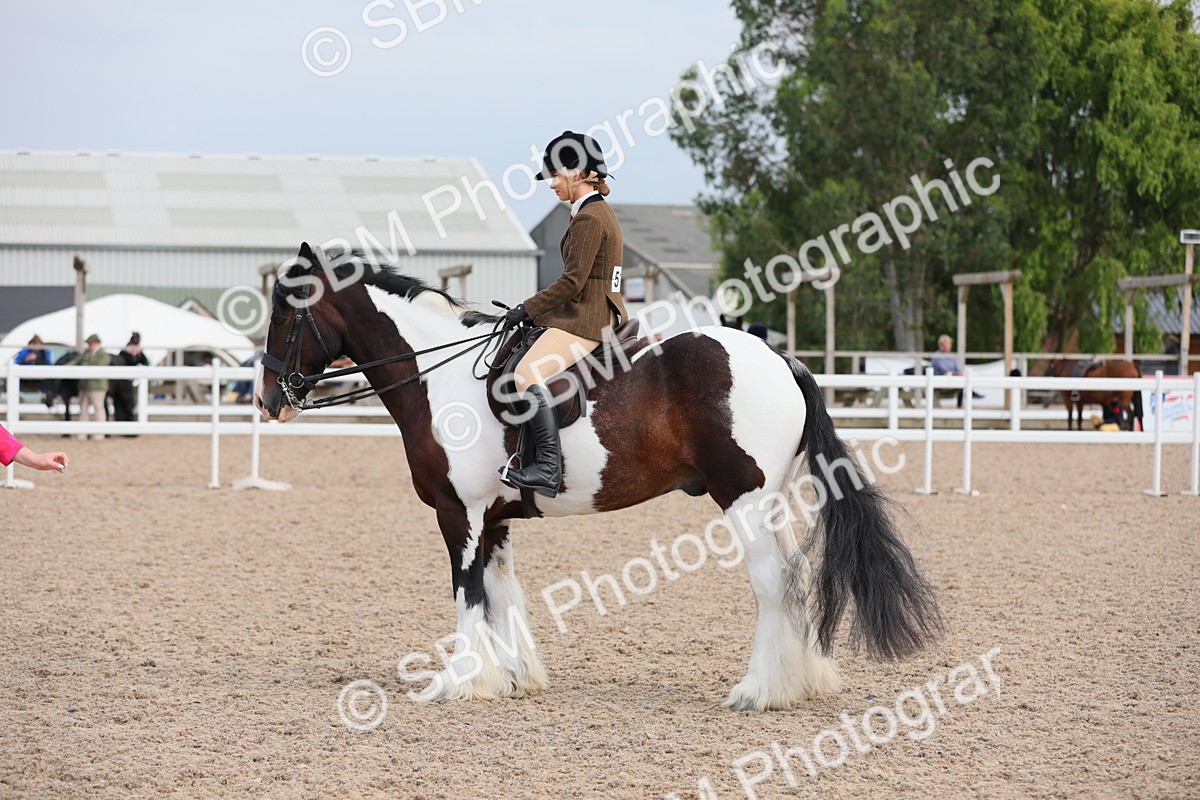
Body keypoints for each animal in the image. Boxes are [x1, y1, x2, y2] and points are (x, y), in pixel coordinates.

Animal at [255, 243, 942, 711]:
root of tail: (780, 358)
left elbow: (467, 595)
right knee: (794, 580)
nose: (267, 399)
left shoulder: (461, 513)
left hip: (743, 500)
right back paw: (800, 681)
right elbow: (504, 595)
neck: (439, 379)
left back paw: (757, 690)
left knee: (771, 585)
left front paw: (460, 681)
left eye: (286, 315)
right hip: (767, 503)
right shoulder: (496, 518)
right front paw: (511, 676)